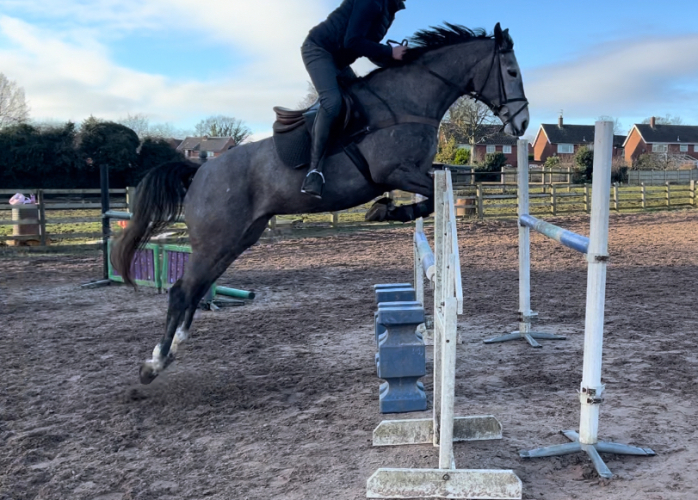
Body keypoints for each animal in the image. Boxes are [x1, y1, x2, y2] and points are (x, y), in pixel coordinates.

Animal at [112, 23, 529, 384]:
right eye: (510, 71)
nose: (522, 124)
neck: (408, 101)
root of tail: (199, 171)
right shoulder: (394, 172)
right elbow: (438, 195)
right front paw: (387, 209)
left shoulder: (416, 172)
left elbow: (435, 196)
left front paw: (387, 209)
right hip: (217, 239)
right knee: (183, 290)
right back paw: (154, 363)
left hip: (237, 239)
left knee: (197, 288)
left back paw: (173, 349)